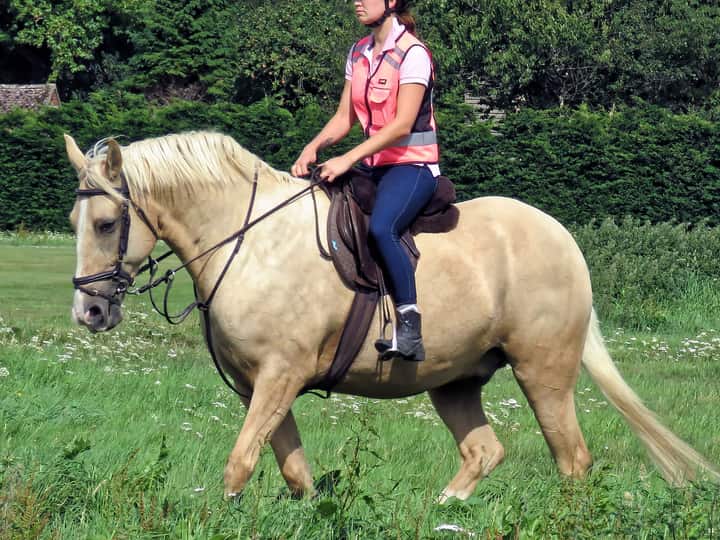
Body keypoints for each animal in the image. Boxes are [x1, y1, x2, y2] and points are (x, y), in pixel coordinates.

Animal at [65, 131, 718, 500]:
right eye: (75, 223)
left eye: (106, 224)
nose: (89, 311)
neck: (249, 243)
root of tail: (564, 238)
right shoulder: (261, 386)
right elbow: (296, 474)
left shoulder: (279, 377)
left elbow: (239, 465)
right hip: (455, 381)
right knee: (484, 453)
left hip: (544, 373)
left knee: (573, 461)